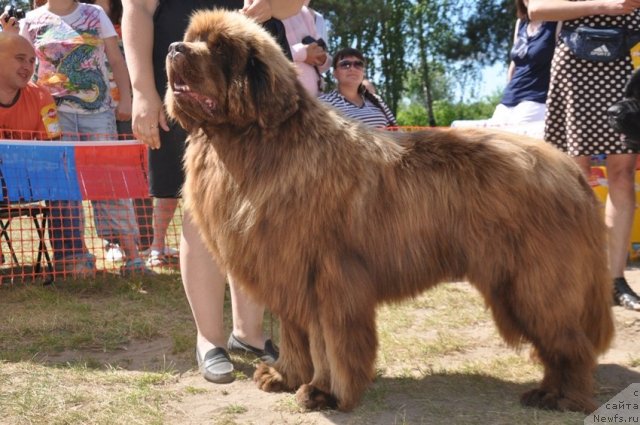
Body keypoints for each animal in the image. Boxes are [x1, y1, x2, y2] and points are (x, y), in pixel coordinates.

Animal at [165, 10, 616, 414]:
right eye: (191, 38)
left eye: (219, 47)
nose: (172, 47)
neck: (254, 143)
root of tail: (568, 167)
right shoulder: (286, 272)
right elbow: (295, 335)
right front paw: (284, 376)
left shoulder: (327, 278)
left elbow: (327, 343)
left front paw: (325, 392)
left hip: (534, 282)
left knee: (570, 343)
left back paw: (560, 397)